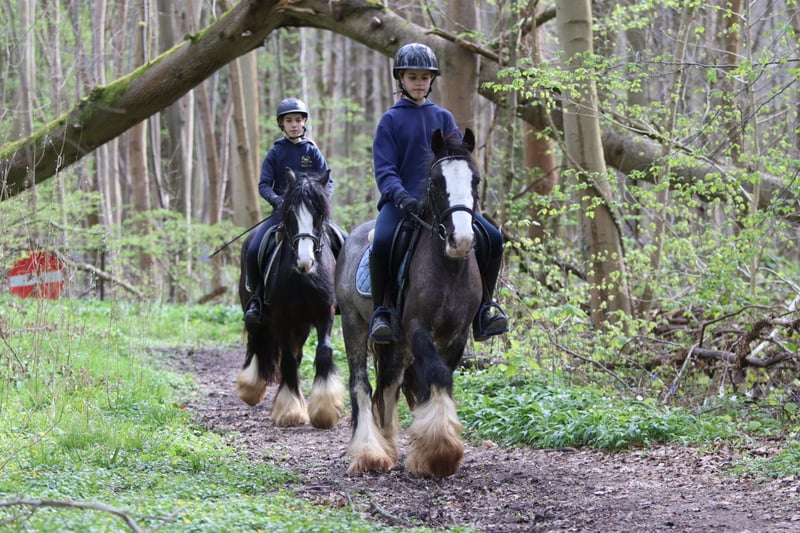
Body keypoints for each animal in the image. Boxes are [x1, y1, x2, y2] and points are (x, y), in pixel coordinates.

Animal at [236, 168, 344, 429]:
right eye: (290, 215)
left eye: (319, 214)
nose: (305, 262)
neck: (303, 278)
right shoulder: (282, 319)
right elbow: (286, 360)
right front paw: (290, 411)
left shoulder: (324, 314)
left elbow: (323, 352)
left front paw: (324, 410)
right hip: (256, 314)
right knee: (256, 343)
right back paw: (251, 388)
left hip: (302, 325)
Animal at [335, 128, 483, 477]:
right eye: (437, 182)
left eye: (475, 180)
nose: (461, 241)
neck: (449, 269)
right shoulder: (418, 328)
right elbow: (437, 375)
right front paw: (441, 454)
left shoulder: (456, 335)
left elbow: (436, 377)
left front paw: (430, 450)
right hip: (353, 323)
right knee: (361, 384)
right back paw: (371, 453)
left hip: (398, 342)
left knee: (389, 384)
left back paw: (389, 446)